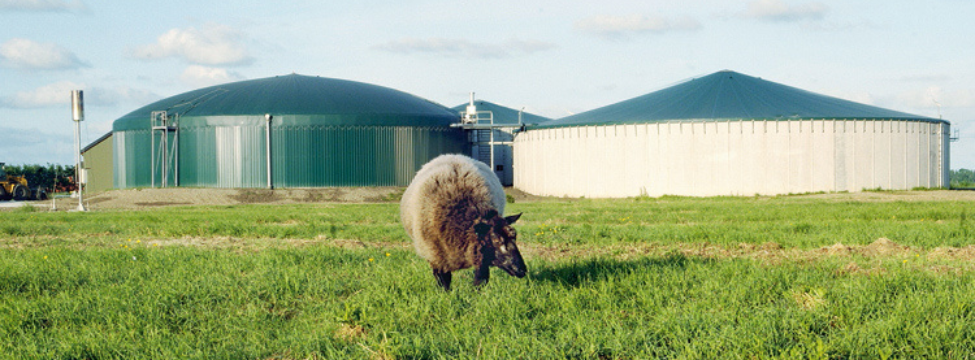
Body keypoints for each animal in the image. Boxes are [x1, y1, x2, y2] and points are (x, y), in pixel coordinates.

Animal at [400, 153, 528, 292]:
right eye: (496, 240)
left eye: (515, 237)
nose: (522, 270)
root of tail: (452, 155)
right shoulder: (436, 257)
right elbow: (443, 282)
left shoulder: (481, 256)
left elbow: (480, 281)